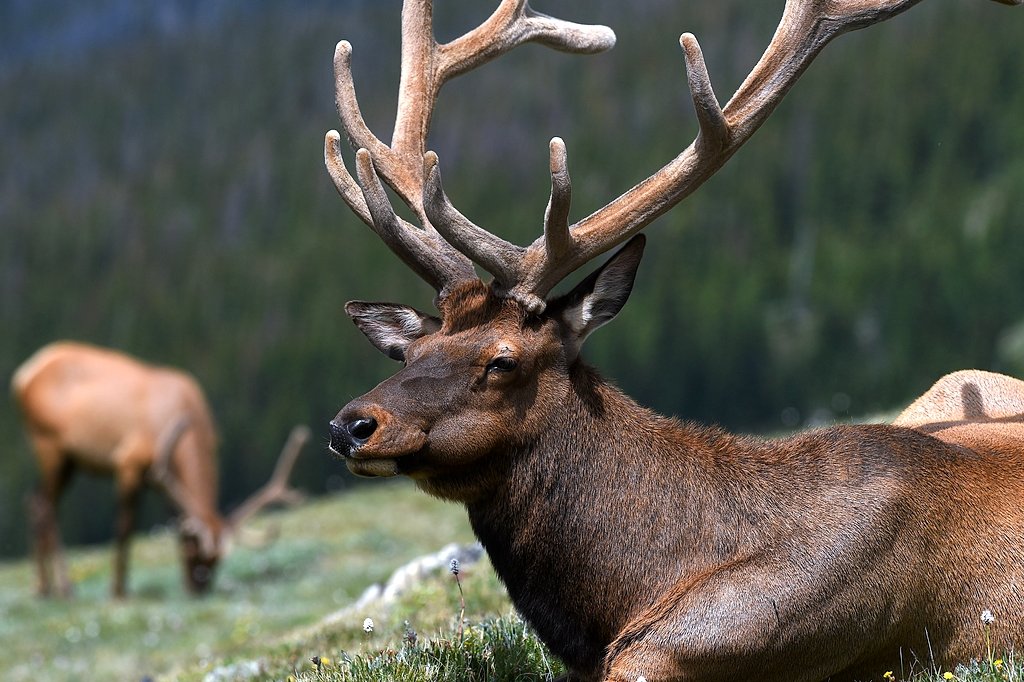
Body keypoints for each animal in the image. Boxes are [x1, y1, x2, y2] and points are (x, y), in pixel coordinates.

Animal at [12, 340, 309, 598]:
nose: (198, 588)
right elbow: (125, 527)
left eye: (216, 562)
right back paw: (64, 587)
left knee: (33, 499)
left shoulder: (161, 478)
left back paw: (43, 587)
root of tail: (24, 375)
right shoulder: (128, 462)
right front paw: (118, 591)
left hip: (68, 460)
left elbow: (176, 521)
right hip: (48, 446)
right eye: (194, 551)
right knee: (46, 506)